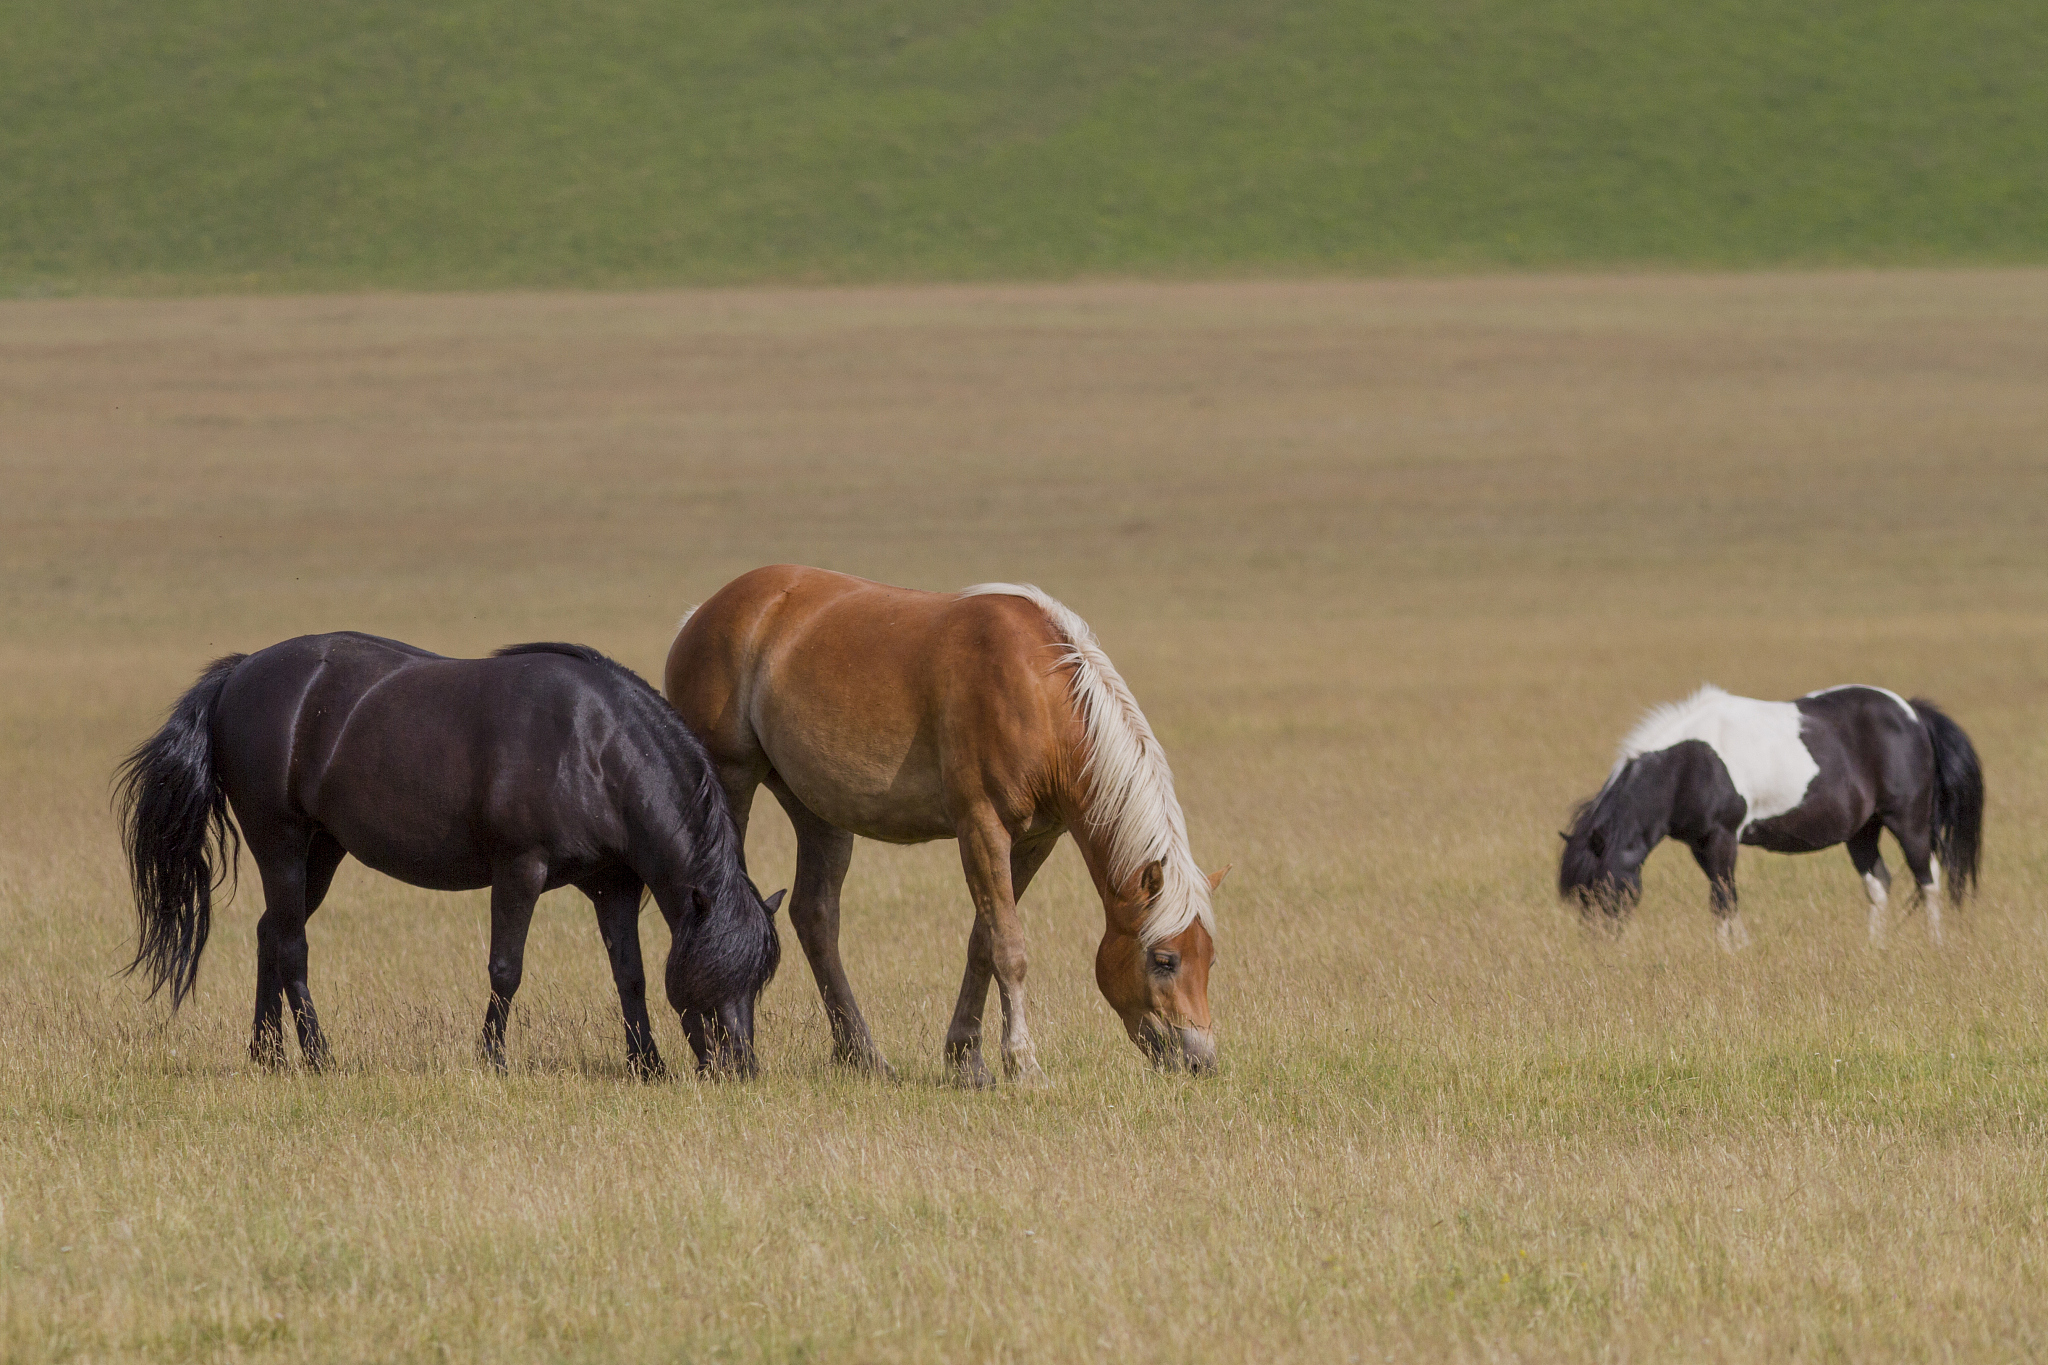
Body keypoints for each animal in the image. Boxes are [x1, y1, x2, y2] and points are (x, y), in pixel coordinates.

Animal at [116, 633, 782, 1076]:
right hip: (279, 841)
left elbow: (630, 975)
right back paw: (318, 1055)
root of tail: (238, 673)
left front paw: (648, 1065)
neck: (594, 747)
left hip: (322, 852)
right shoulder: (519, 870)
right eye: (715, 974)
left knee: (268, 934)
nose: (740, 1068)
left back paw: (268, 1054)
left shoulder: (613, 886)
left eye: (758, 980)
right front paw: (492, 1061)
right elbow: (506, 969)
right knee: (290, 944)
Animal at [663, 565, 1226, 1085]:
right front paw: (1022, 1062)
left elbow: (983, 941)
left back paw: (862, 1055)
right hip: (732, 784)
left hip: (818, 812)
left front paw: (967, 1058)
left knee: (815, 916)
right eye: (1165, 959)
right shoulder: (981, 827)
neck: (1034, 687)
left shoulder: (1034, 840)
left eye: (1210, 959)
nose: (1200, 1060)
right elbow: (1008, 947)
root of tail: (701, 614)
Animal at [1559, 684, 1983, 948]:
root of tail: (1913, 714)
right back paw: (1874, 947)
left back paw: (1934, 945)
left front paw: (1730, 952)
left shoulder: (1721, 838)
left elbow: (1723, 898)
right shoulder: (1701, 845)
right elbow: (1724, 895)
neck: (1688, 765)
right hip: (1863, 830)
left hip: (1907, 822)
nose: (1598, 946)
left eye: (1598, 889)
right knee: (1879, 883)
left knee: (1928, 878)